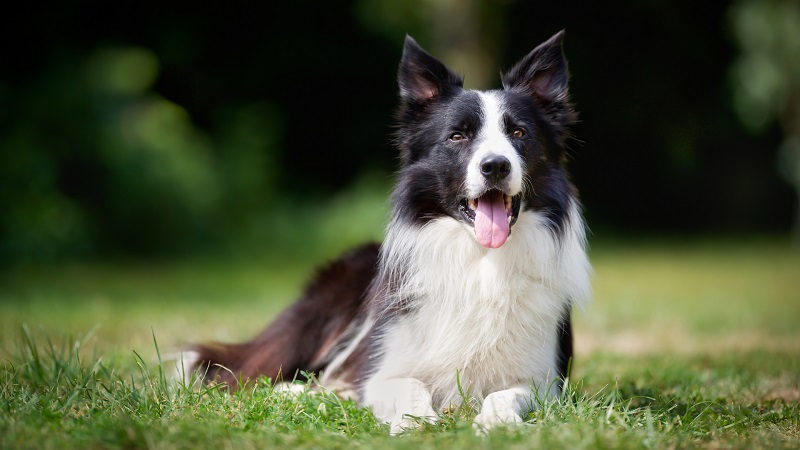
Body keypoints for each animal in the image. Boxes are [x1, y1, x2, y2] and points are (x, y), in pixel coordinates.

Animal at [184, 31, 592, 432]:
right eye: (457, 137)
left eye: (519, 132)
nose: (495, 165)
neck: (479, 262)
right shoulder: (382, 368)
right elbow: (408, 385)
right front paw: (417, 422)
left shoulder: (545, 381)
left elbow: (506, 394)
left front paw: (498, 422)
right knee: (255, 375)